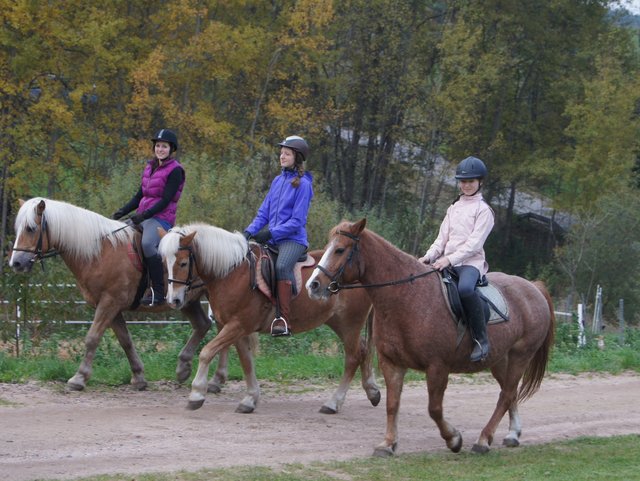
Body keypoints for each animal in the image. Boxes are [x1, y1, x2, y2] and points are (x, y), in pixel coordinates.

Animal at [8, 198, 212, 390]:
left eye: (31, 228)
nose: (16, 263)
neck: (100, 252)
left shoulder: (109, 303)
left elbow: (92, 338)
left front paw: (79, 378)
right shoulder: (110, 306)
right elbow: (125, 340)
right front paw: (138, 377)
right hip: (187, 301)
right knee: (203, 325)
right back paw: (183, 368)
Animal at [158, 221, 382, 412]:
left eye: (183, 263)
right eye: (163, 262)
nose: (173, 300)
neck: (232, 273)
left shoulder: (238, 325)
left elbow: (206, 352)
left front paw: (196, 394)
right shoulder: (237, 328)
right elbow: (246, 361)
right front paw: (250, 399)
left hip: (350, 322)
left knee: (353, 357)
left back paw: (333, 403)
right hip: (338, 322)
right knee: (363, 349)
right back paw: (372, 391)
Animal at [306, 219, 556, 456]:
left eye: (340, 250)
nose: (313, 285)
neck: (408, 296)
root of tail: (533, 288)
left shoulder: (437, 366)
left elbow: (434, 409)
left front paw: (454, 439)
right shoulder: (392, 363)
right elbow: (392, 404)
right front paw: (387, 444)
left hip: (520, 356)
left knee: (506, 394)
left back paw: (483, 440)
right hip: (499, 359)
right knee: (510, 392)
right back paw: (513, 434)